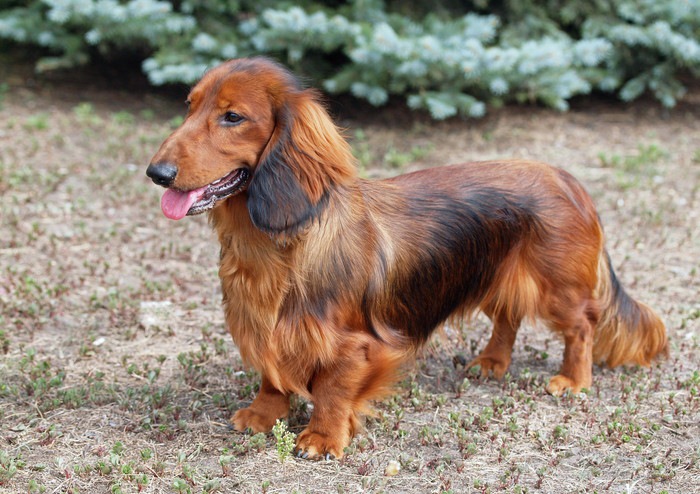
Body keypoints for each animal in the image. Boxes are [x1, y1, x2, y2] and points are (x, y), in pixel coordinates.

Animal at [146, 57, 668, 460]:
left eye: (233, 117)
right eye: (190, 106)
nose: (156, 172)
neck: (274, 245)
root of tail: (565, 176)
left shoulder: (352, 345)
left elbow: (332, 390)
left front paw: (322, 438)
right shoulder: (268, 324)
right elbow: (272, 374)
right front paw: (262, 413)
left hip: (557, 288)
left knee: (582, 326)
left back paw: (573, 380)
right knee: (509, 316)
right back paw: (491, 362)